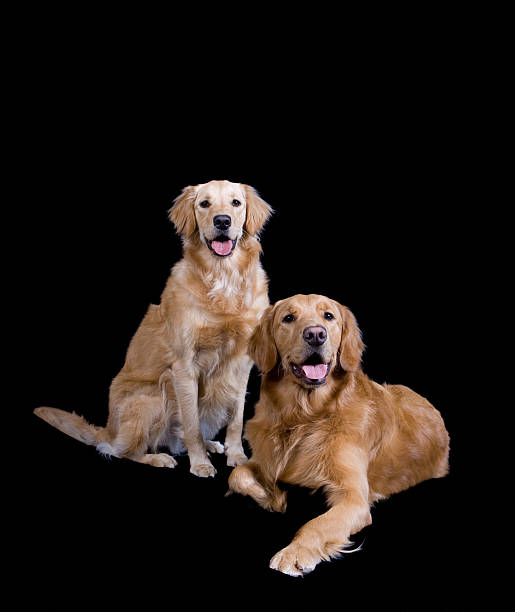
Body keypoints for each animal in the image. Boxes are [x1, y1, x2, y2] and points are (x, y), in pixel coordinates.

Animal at [35, 179, 274, 476]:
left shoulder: (242, 363)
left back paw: (210, 444)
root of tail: (108, 429)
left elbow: (237, 418)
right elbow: (191, 424)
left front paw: (237, 455)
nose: (222, 221)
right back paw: (157, 457)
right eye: (204, 204)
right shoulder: (184, 366)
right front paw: (200, 464)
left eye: (236, 203)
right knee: (120, 450)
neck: (223, 276)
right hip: (151, 396)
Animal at [228, 294, 450, 576]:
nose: (315, 334)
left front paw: (295, 552)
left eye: (328, 316)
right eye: (288, 318)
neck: (305, 417)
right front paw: (271, 498)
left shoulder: (354, 498)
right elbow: (237, 474)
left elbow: (316, 524)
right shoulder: (263, 459)